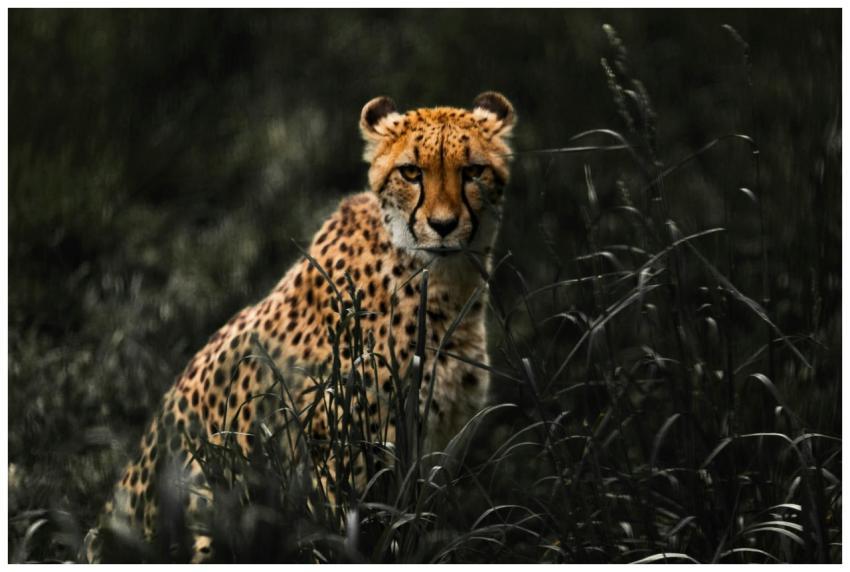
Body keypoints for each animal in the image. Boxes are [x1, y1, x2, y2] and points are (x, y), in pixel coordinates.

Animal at [85, 91, 516, 563]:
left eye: (472, 171)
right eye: (411, 172)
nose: (443, 226)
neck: (442, 282)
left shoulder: (437, 445)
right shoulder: (337, 453)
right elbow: (352, 534)